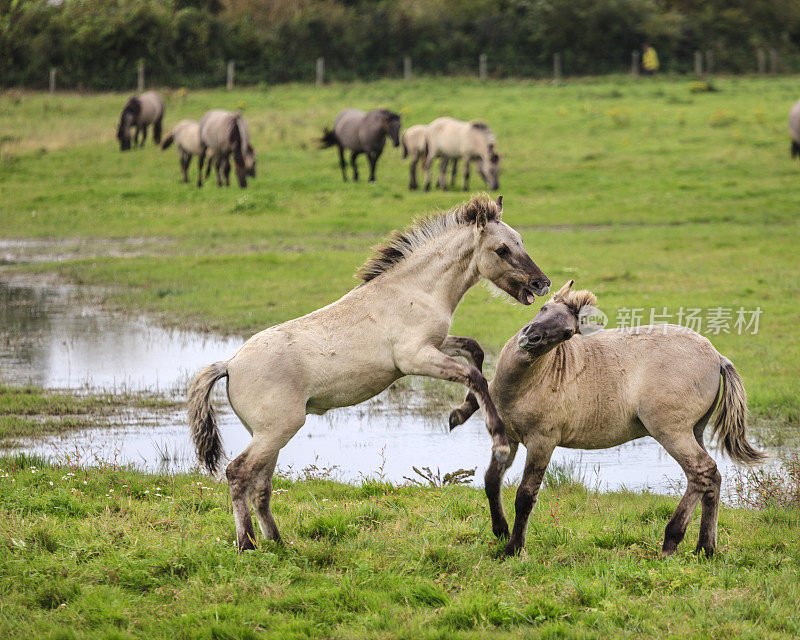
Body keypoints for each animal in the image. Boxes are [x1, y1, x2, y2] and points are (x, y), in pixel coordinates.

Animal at [188, 194, 552, 552]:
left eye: (520, 241)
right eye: (501, 249)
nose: (542, 283)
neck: (415, 290)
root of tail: (230, 365)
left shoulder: (437, 345)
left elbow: (474, 352)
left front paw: (459, 414)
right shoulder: (416, 358)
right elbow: (474, 376)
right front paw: (497, 438)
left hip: (268, 435)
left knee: (260, 485)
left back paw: (279, 544)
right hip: (277, 431)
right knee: (237, 473)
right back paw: (247, 545)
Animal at [446, 280, 764, 556]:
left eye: (567, 333)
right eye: (543, 309)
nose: (529, 339)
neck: (527, 381)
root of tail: (717, 357)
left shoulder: (542, 442)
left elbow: (525, 496)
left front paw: (512, 549)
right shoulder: (509, 438)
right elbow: (491, 480)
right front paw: (500, 531)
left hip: (672, 432)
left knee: (702, 472)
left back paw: (671, 542)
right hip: (695, 430)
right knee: (712, 478)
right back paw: (705, 549)